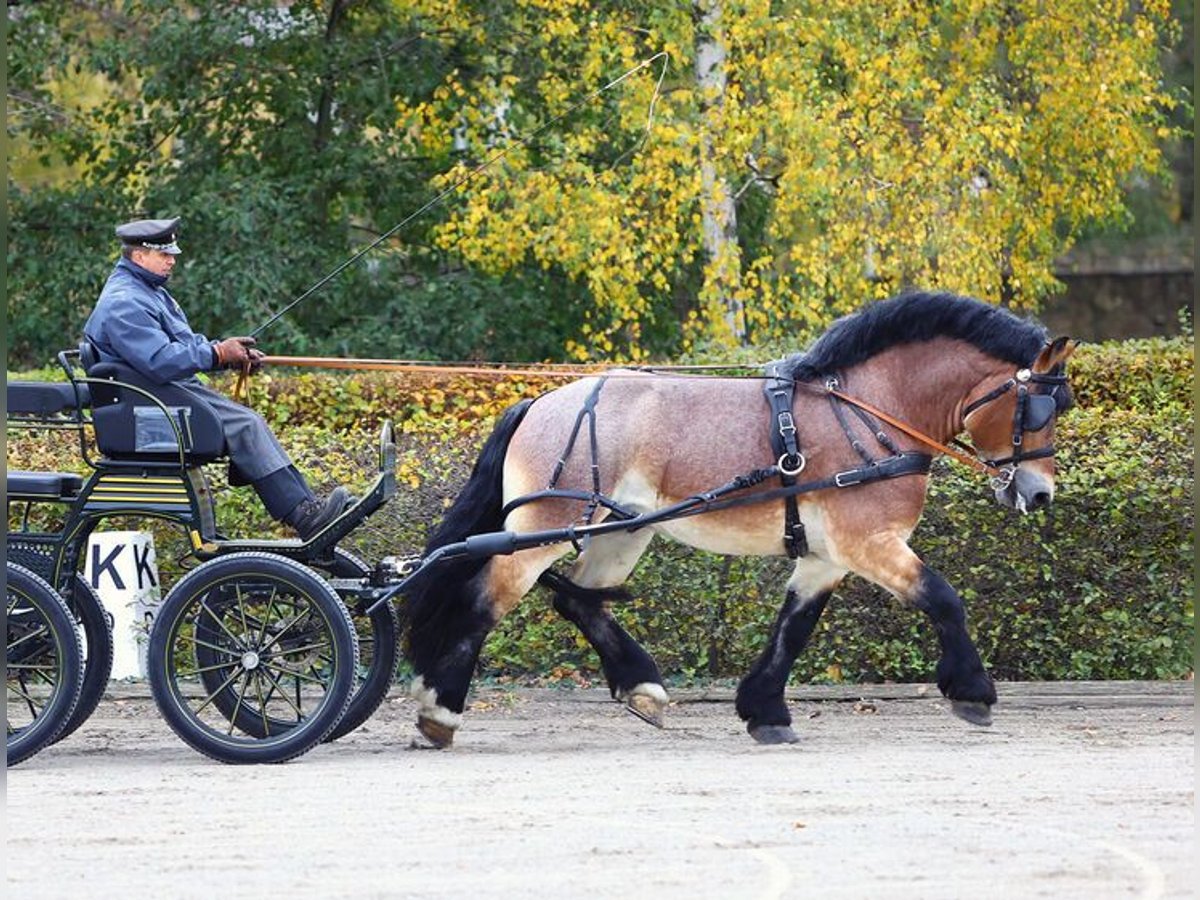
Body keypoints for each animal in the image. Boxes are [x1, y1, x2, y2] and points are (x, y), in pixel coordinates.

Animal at [405, 290, 1080, 748]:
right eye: (1039, 409)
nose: (1040, 493)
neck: (870, 413)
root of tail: (541, 400)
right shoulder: (869, 543)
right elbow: (944, 598)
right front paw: (973, 692)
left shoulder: (825, 556)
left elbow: (794, 628)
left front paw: (765, 711)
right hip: (541, 533)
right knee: (484, 600)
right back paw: (439, 712)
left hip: (621, 532)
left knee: (577, 599)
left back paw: (641, 687)